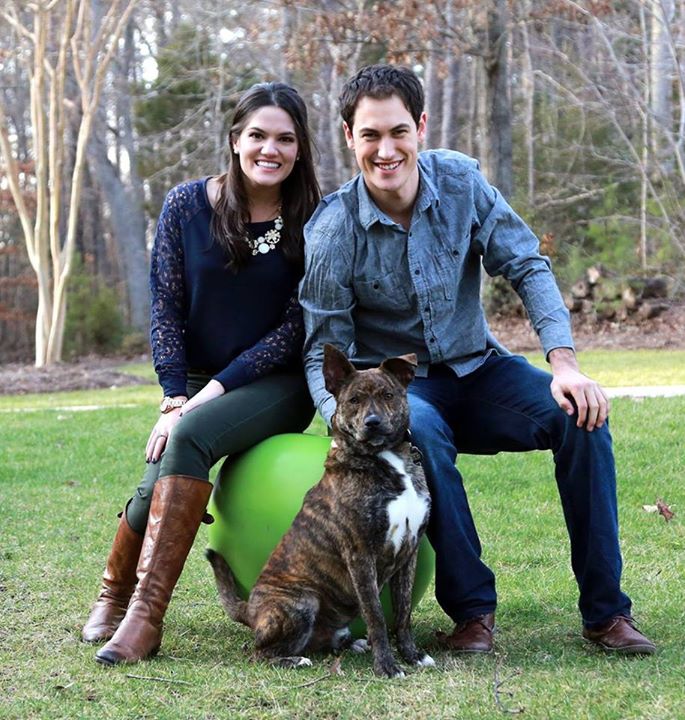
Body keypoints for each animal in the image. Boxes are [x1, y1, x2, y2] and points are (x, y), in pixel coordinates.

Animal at [206, 344, 436, 676]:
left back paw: (350, 643)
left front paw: (412, 655)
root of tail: (250, 609)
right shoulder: (360, 555)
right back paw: (293, 660)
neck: (384, 459)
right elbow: (377, 616)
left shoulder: (409, 551)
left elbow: (403, 614)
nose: (373, 422)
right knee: (258, 653)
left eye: (388, 395)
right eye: (354, 400)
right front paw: (386, 666)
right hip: (302, 602)